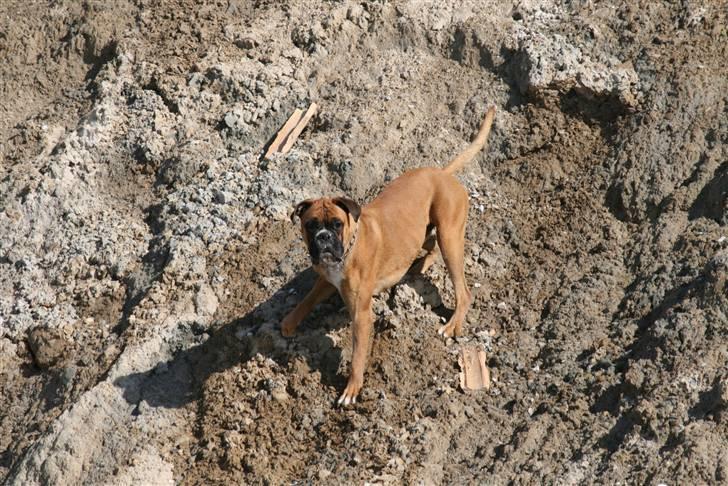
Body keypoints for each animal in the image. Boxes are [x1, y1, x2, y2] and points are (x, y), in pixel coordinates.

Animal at [282, 108, 498, 404]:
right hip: (431, 231)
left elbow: (357, 355)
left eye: (336, 224)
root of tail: (443, 173)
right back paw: (418, 265)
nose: (323, 237)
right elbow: (307, 299)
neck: (349, 246)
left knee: (463, 290)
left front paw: (352, 388)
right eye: (311, 225)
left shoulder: (361, 315)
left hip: (450, 236)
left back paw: (452, 325)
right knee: (429, 244)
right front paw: (290, 321)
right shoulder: (325, 279)